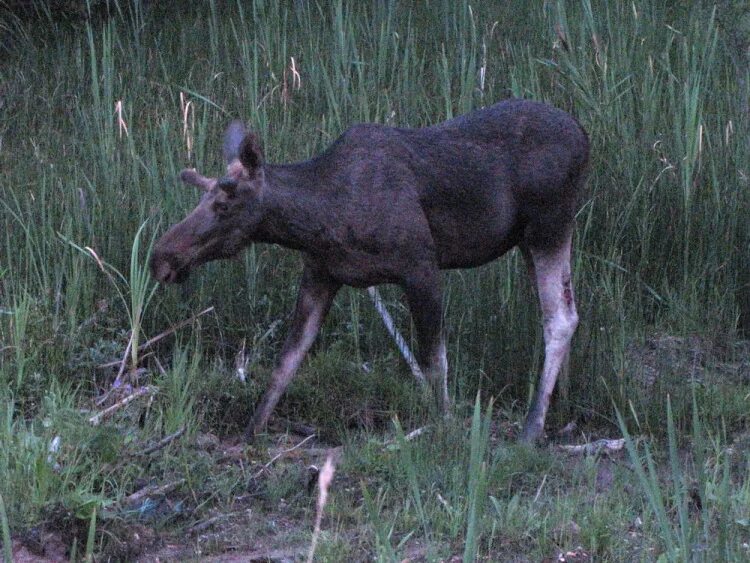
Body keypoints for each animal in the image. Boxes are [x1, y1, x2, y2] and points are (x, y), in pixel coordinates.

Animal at [150, 100, 592, 446]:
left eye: (224, 205)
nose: (161, 257)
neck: (320, 218)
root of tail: (585, 137)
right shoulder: (320, 274)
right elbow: (286, 361)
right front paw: (249, 432)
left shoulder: (421, 266)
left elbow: (435, 363)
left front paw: (445, 428)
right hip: (529, 240)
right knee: (563, 308)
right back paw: (560, 410)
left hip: (549, 225)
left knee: (561, 317)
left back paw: (532, 428)